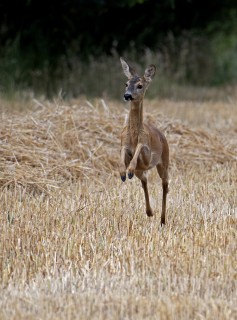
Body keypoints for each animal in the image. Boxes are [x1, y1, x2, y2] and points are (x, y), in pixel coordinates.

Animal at [119, 58, 169, 228]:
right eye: (126, 83)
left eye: (140, 85)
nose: (127, 95)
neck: (134, 136)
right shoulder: (123, 142)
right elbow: (123, 151)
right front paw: (123, 172)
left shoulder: (147, 156)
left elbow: (141, 147)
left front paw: (127, 170)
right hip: (143, 171)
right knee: (144, 181)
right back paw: (149, 212)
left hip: (164, 161)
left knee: (165, 185)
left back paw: (162, 220)